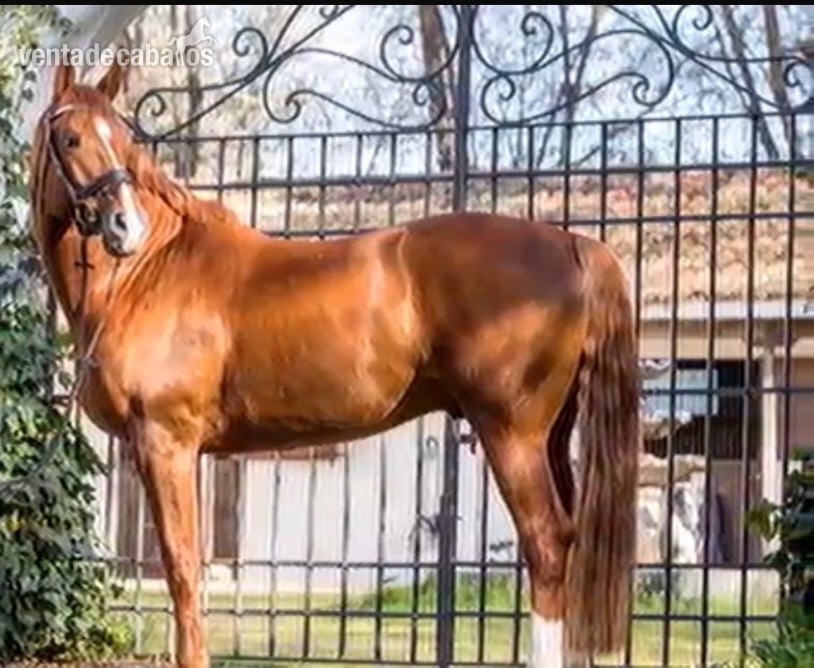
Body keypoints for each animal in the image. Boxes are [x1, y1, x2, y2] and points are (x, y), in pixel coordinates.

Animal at [28, 60, 641, 668]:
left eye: (123, 139)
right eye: (72, 138)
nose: (123, 226)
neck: (146, 274)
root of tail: (573, 244)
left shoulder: (166, 442)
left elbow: (182, 571)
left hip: (512, 434)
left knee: (547, 545)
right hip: (553, 437)